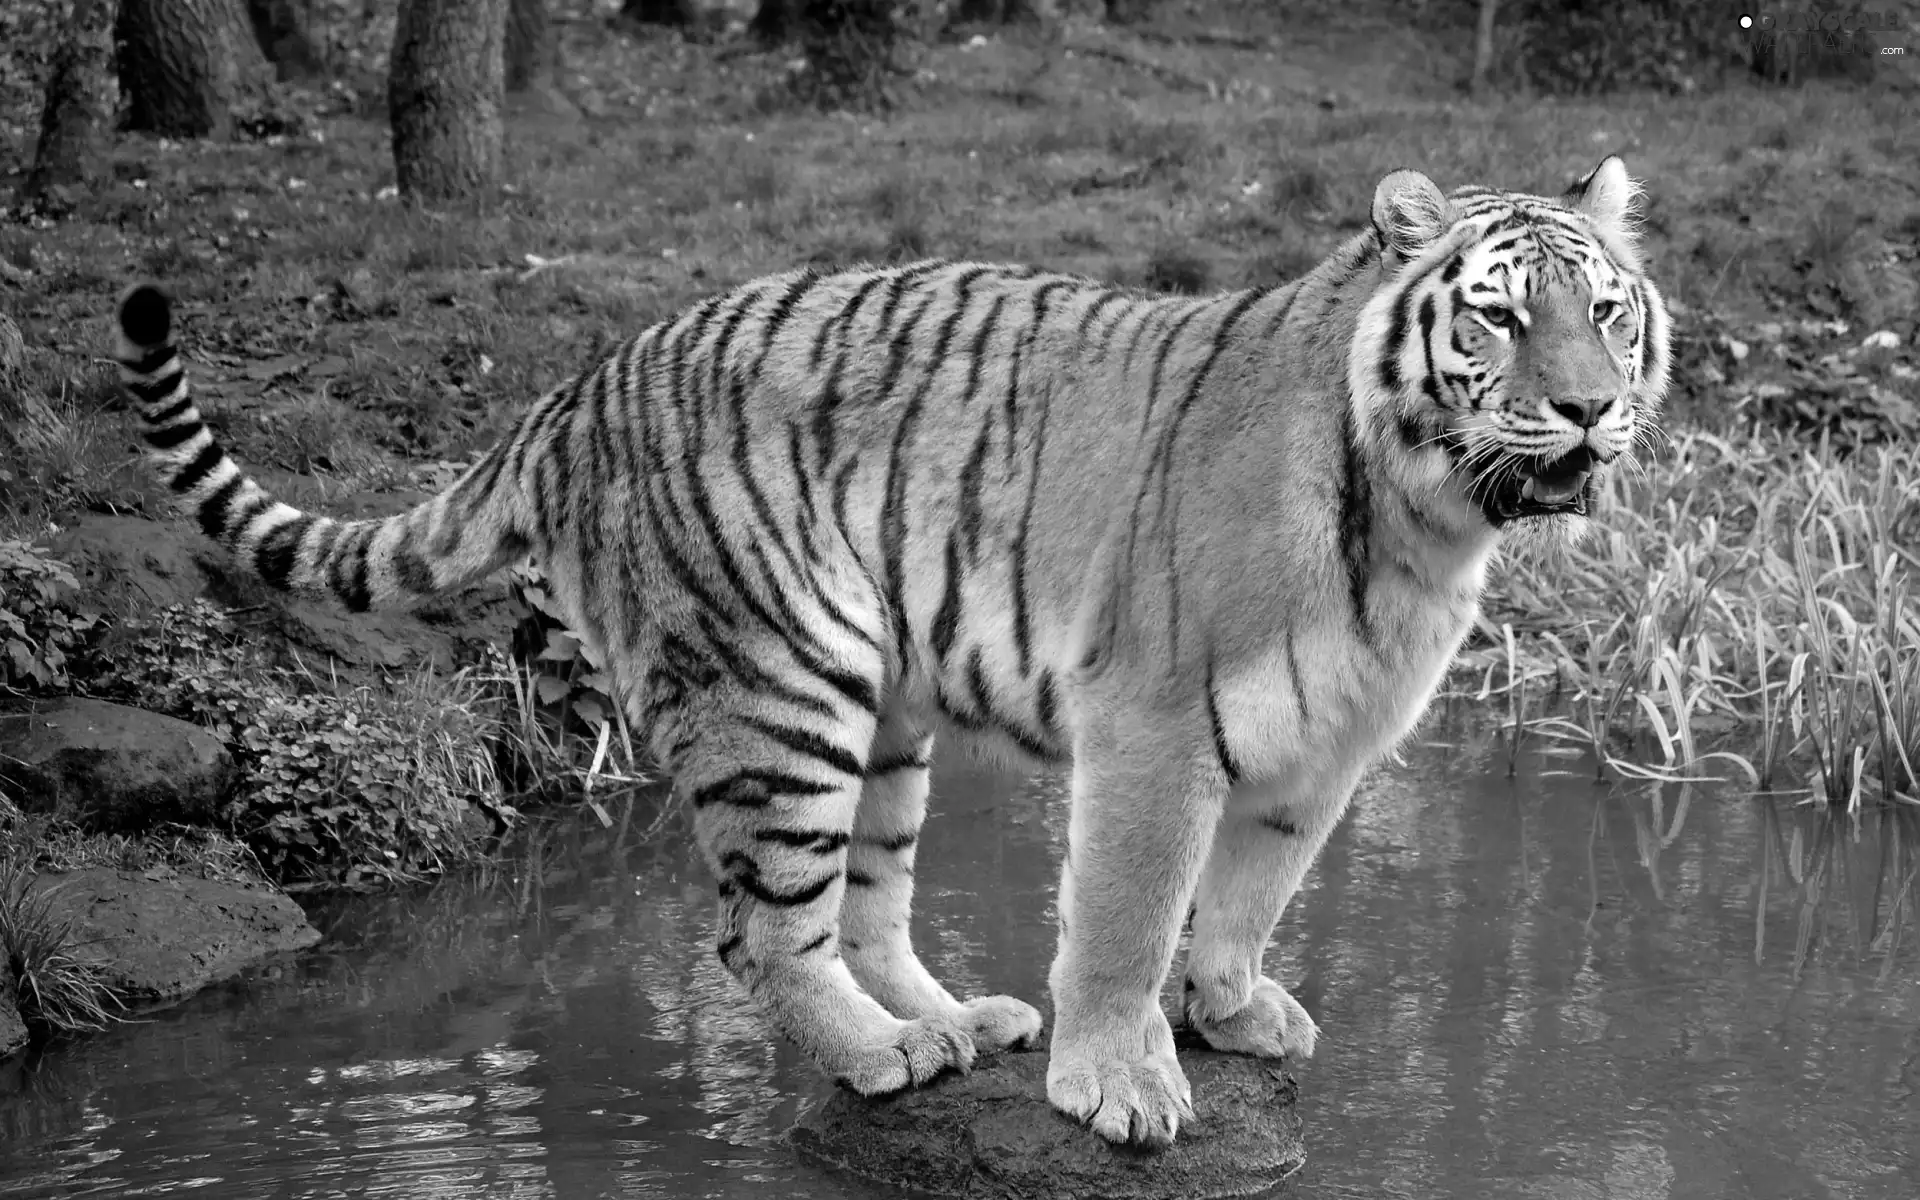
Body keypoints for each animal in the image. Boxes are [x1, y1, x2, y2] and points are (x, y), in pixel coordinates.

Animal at [112, 154, 1666, 1144]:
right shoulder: (1156, 725)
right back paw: (886, 1055)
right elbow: (1129, 915)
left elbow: (1247, 898)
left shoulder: (1326, 744)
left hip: (886, 715)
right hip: (777, 692)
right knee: (758, 931)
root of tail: (579, 383)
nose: (1590, 409)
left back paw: (959, 1022)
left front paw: (1231, 1013)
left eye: (1605, 309)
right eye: (1498, 315)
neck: (1425, 521)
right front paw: (1122, 1081)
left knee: (864, 904)